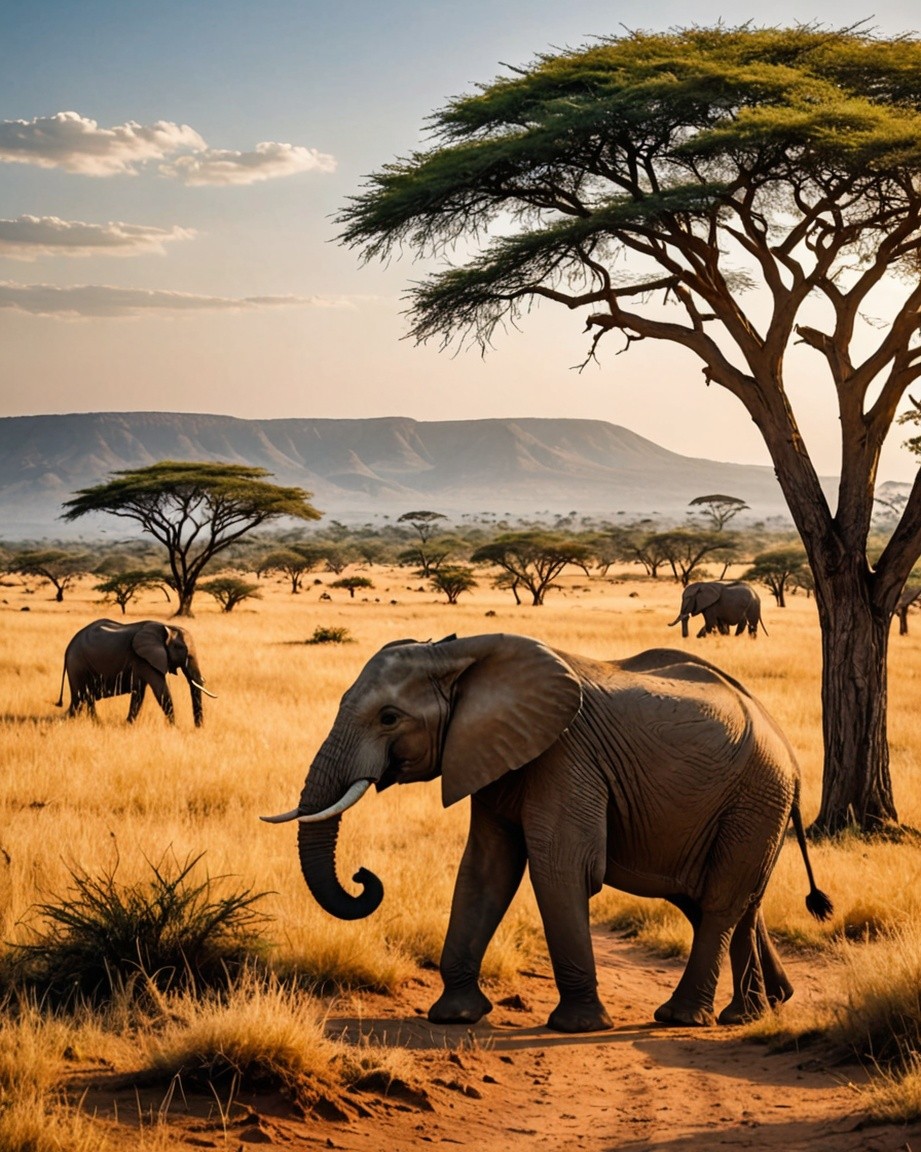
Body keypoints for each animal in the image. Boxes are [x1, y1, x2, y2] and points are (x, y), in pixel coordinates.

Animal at [56, 618, 215, 726]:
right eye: (180, 648)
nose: (198, 728)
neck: (166, 626)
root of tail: (68, 647)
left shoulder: (142, 660)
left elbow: (139, 692)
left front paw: (127, 724)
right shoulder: (144, 659)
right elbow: (160, 690)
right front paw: (174, 727)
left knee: (86, 697)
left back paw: (90, 722)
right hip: (78, 664)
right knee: (79, 697)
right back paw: (72, 721)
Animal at [263, 633, 831, 1034]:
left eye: (388, 718)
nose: (365, 877)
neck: (458, 654)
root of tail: (788, 749)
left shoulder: (564, 755)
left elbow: (561, 866)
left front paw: (577, 1027)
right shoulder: (492, 755)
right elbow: (486, 869)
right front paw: (454, 1016)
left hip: (754, 796)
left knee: (717, 904)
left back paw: (684, 1018)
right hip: (748, 805)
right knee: (735, 904)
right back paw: (755, 1012)